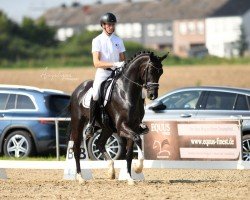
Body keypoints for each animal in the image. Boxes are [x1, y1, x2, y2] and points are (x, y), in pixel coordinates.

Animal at [68, 50, 168, 184]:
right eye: (150, 70)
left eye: (160, 72)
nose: (153, 95)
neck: (126, 92)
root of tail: (78, 89)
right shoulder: (122, 127)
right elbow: (138, 139)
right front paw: (138, 168)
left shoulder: (134, 126)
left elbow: (129, 153)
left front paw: (130, 177)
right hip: (78, 123)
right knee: (76, 148)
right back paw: (80, 178)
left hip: (107, 127)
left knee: (100, 143)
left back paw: (111, 170)